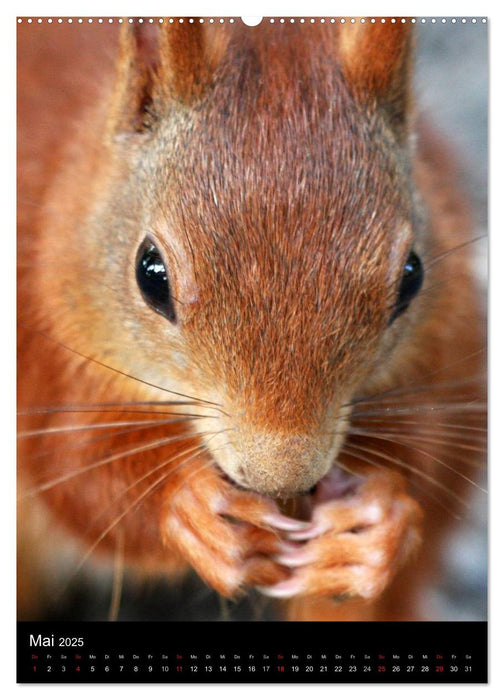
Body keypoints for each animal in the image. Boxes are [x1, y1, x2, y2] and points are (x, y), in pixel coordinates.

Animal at [17, 17, 486, 624]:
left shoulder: (445, 343)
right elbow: (70, 467)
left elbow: (431, 448)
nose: (281, 476)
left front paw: (378, 519)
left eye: (412, 276)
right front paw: (193, 507)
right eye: (150, 274)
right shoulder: (42, 338)